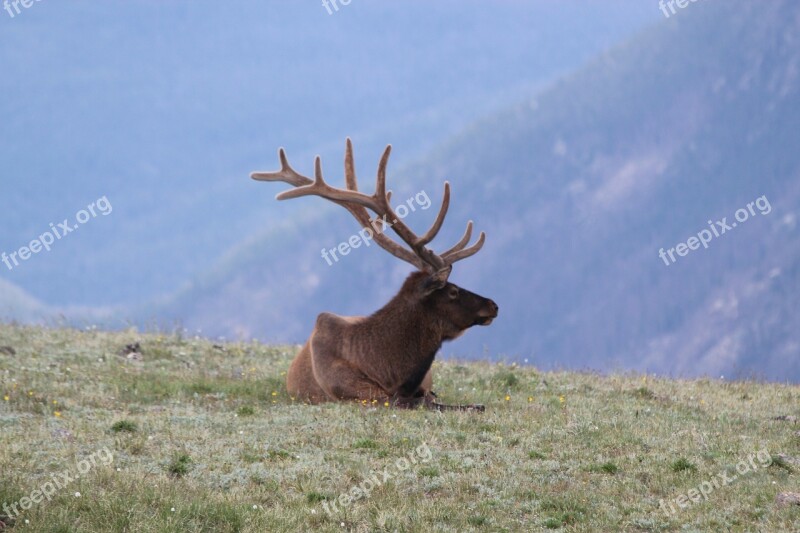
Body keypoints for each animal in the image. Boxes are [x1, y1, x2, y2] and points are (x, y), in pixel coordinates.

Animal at [253, 138, 496, 412]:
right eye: (453, 291)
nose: (493, 305)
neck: (389, 371)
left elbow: (434, 399)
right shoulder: (359, 393)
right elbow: (416, 402)